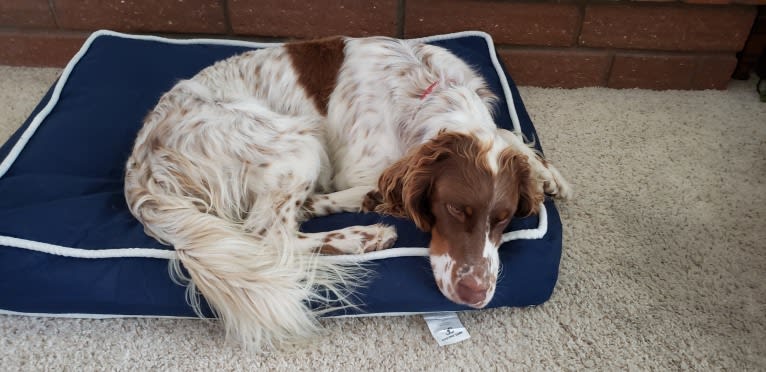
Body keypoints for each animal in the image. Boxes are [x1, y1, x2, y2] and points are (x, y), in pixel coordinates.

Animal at [124, 35, 568, 352]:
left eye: (504, 219)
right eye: (454, 209)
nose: (475, 294)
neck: (429, 90)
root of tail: (143, 163)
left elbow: (508, 134)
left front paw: (547, 173)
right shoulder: (357, 169)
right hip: (299, 143)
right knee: (268, 239)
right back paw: (364, 235)